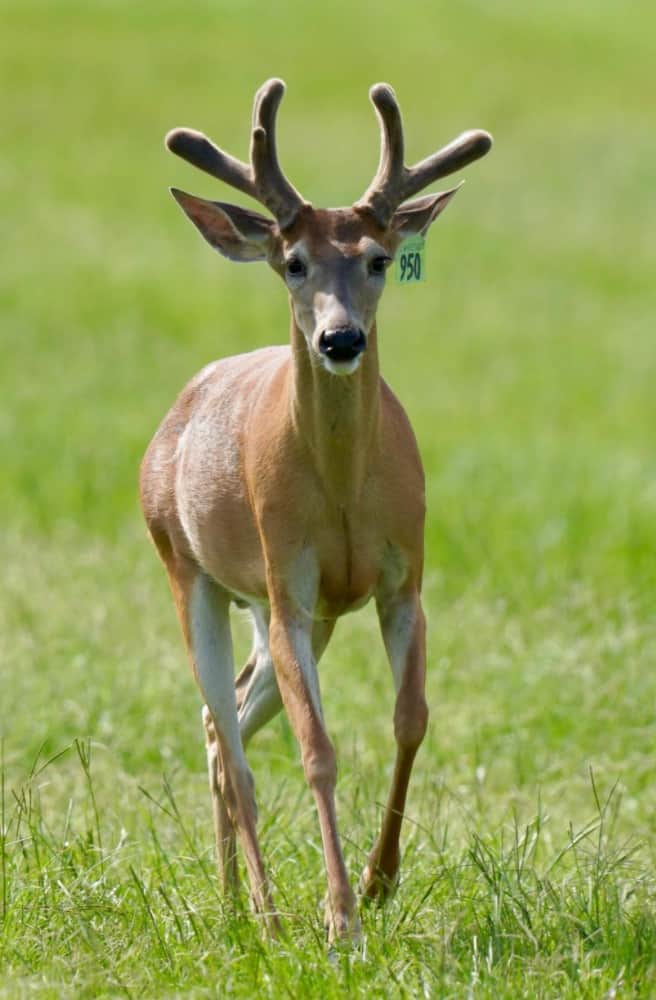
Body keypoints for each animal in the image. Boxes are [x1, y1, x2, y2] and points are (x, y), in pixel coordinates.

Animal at [139, 78, 491, 943]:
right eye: (293, 264)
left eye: (377, 260)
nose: (340, 340)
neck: (342, 494)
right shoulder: (289, 581)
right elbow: (319, 751)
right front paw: (340, 918)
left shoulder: (403, 581)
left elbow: (411, 719)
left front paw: (378, 881)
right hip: (192, 570)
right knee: (227, 738)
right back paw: (265, 915)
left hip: (287, 613)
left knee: (224, 720)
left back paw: (233, 901)